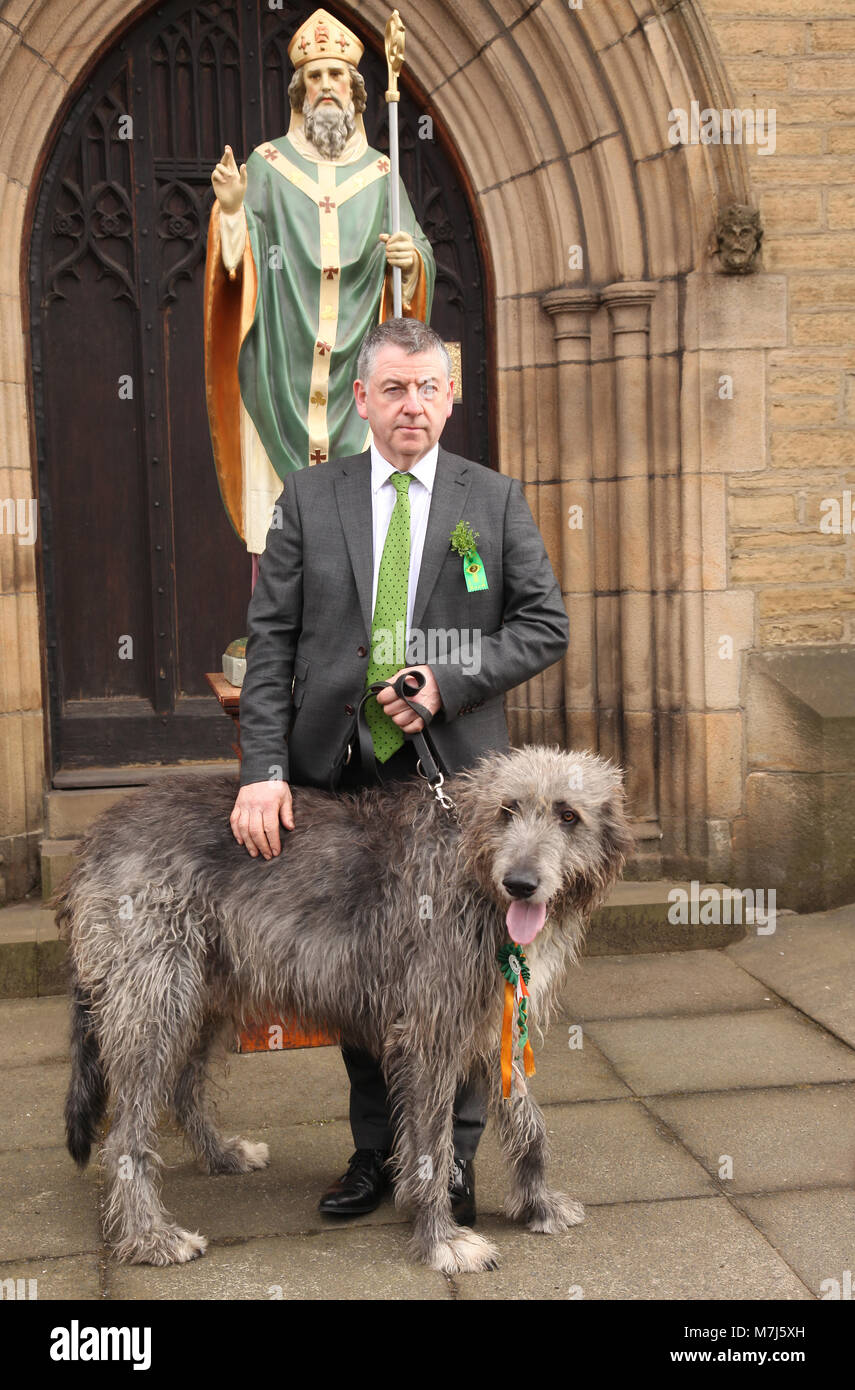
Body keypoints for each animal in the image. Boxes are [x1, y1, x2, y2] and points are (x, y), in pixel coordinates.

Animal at [53, 745, 628, 1273]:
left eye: (569, 815)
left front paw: (538, 1205)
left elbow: (529, 1123)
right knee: (125, 1135)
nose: (521, 884)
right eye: (507, 810)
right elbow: (431, 1146)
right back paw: (150, 1236)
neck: (470, 865)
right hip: (156, 994)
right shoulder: (429, 1030)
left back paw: (221, 1156)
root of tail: (95, 838)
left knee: (181, 1087)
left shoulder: (493, 1020)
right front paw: (441, 1240)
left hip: (205, 995)